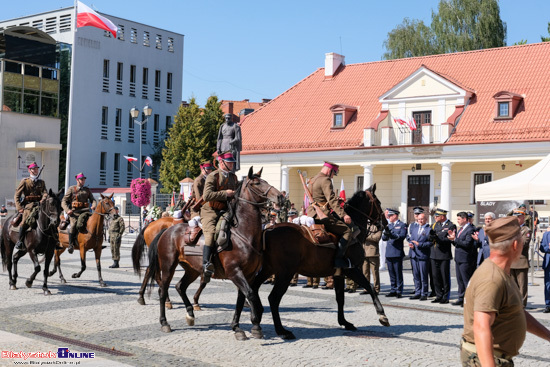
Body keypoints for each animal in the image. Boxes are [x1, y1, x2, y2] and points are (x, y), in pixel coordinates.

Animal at [138, 167, 284, 340]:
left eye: (265, 181)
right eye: (256, 183)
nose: (280, 196)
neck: (243, 234)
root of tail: (167, 230)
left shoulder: (248, 275)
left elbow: (242, 300)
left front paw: (239, 327)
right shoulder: (235, 272)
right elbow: (251, 294)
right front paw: (255, 322)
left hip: (192, 269)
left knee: (180, 286)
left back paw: (190, 314)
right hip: (168, 266)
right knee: (162, 289)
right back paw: (164, 322)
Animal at [233, 185, 392, 340]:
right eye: (378, 203)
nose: (386, 225)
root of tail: (267, 230)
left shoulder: (339, 273)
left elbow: (340, 298)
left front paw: (344, 322)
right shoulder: (352, 269)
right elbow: (370, 288)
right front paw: (382, 315)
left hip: (268, 269)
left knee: (252, 289)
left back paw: (255, 317)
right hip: (284, 273)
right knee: (273, 298)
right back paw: (281, 330)